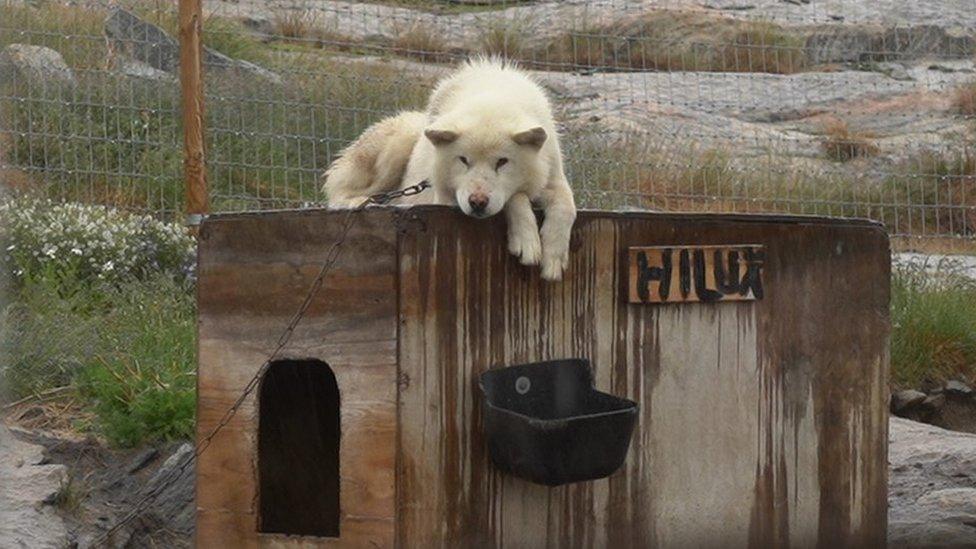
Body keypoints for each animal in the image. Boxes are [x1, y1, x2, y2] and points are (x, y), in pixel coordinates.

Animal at [324, 57, 576, 280]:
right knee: (338, 191)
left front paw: (554, 258)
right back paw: (361, 202)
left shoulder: (553, 177)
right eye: (463, 160)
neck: (493, 95)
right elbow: (517, 197)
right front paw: (527, 242)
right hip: (396, 147)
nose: (477, 202)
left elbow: (567, 206)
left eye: (502, 162)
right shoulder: (447, 199)